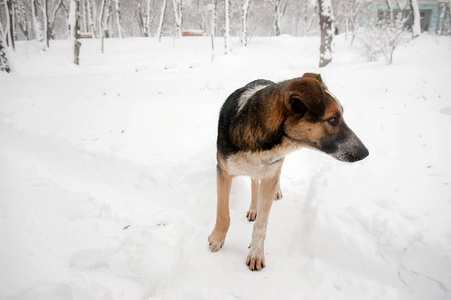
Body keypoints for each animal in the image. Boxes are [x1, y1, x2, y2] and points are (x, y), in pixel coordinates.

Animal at [209, 73, 370, 272]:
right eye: (333, 119)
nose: (366, 153)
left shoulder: (270, 172)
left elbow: (262, 223)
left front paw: (256, 253)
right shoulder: (223, 171)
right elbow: (223, 213)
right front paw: (217, 240)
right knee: (254, 182)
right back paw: (253, 208)